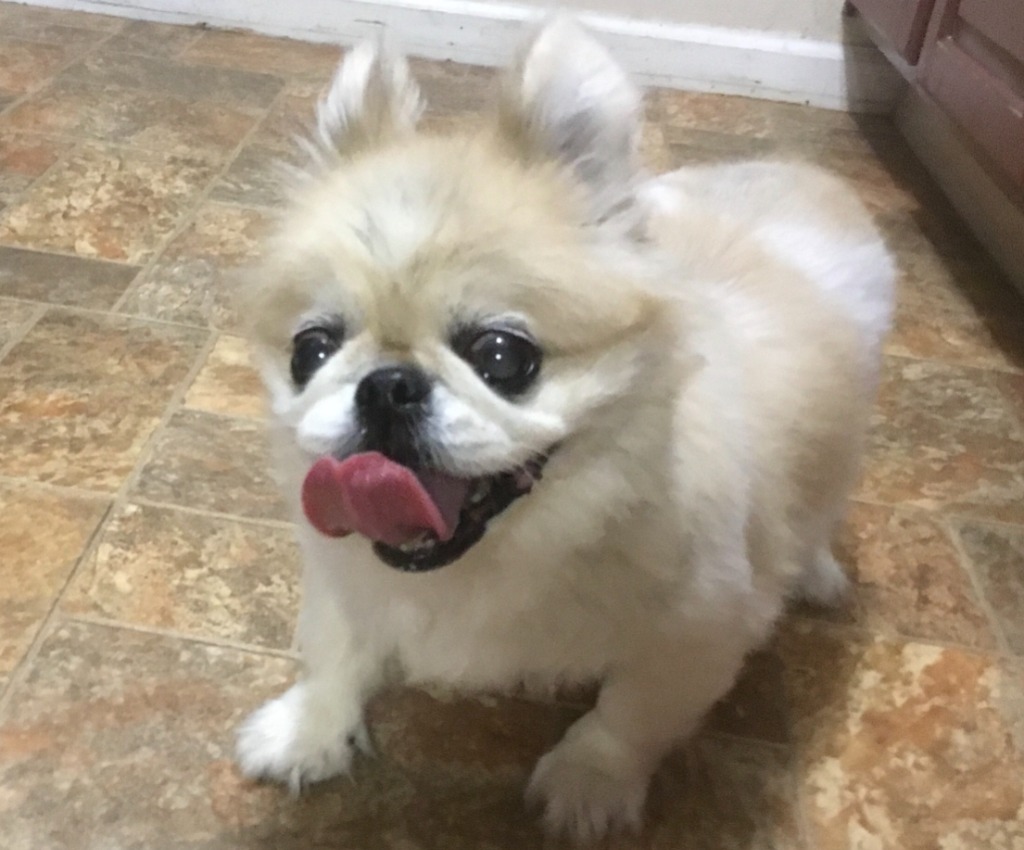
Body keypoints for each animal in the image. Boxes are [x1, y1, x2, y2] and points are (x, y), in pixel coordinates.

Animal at [234, 17, 894, 841]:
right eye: (311, 351)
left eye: (500, 356)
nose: (387, 385)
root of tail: (802, 178)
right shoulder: (344, 575)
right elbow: (337, 646)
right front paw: (309, 729)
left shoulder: (700, 633)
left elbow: (629, 715)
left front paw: (587, 786)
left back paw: (815, 574)